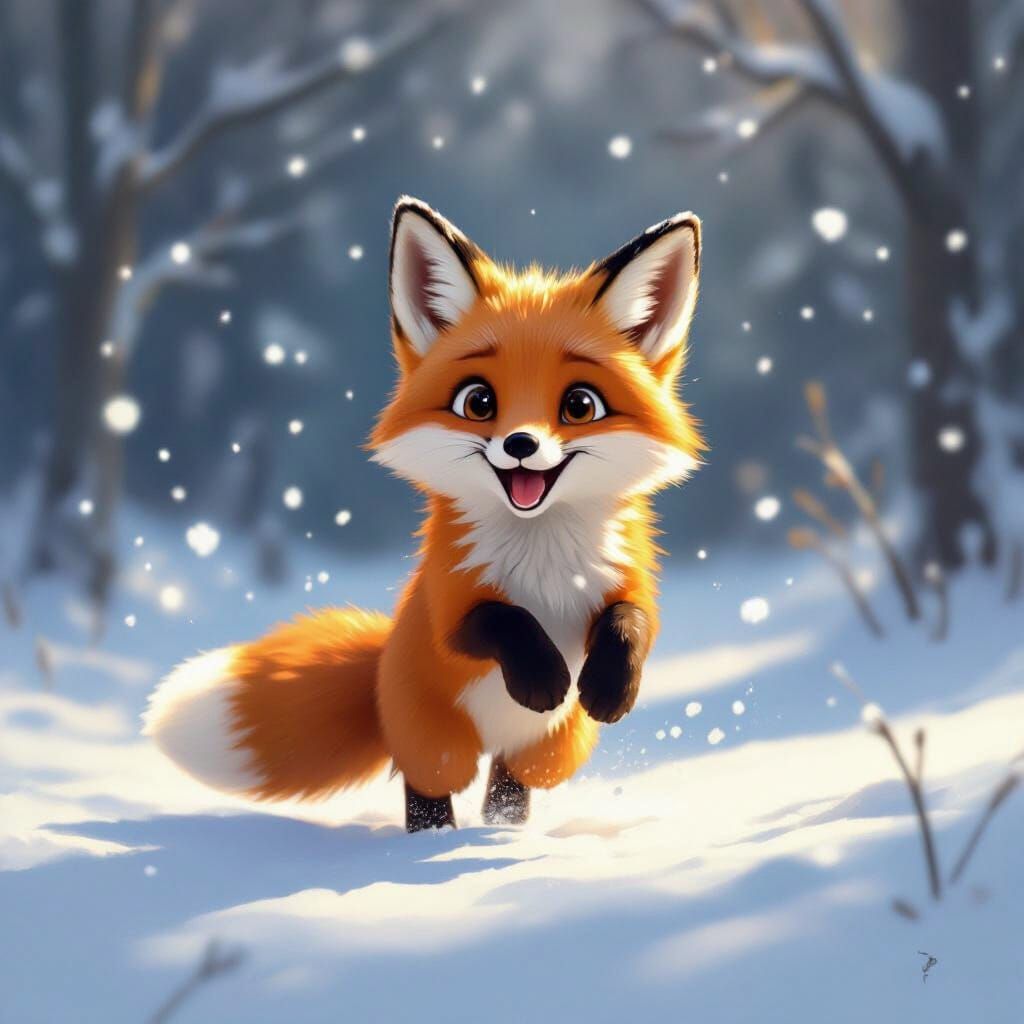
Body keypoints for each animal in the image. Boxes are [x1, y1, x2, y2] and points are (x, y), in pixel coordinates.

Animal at [144, 196, 705, 832]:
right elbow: (500, 619)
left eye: (580, 405)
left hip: (552, 748)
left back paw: (503, 833)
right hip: (435, 741)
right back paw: (434, 840)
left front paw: (610, 687)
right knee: (429, 786)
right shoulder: (448, 605)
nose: (520, 444)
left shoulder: (628, 583)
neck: (542, 559)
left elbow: (632, 621)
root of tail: (380, 668)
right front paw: (542, 677)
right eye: (478, 402)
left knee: (510, 784)